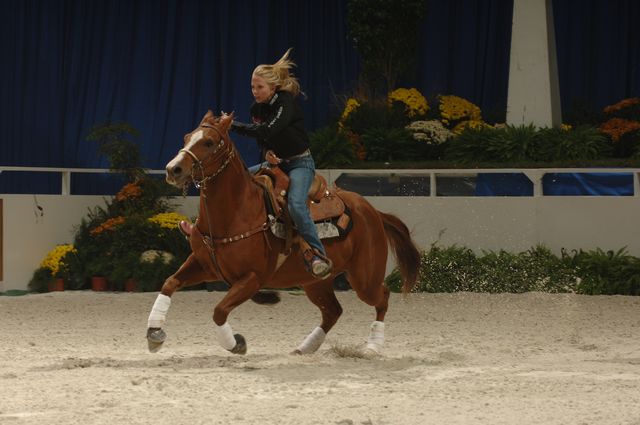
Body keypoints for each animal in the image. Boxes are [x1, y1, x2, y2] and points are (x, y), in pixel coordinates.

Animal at [148, 110, 422, 354]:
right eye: (186, 137)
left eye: (209, 142)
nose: (173, 169)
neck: (237, 212)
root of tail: (373, 211)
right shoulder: (203, 264)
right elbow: (169, 283)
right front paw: (154, 333)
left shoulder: (252, 278)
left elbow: (219, 311)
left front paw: (236, 344)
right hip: (315, 282)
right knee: (333, 311)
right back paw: (305, 347)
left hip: (364, 278)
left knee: (382, 297)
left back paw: (373, 347)